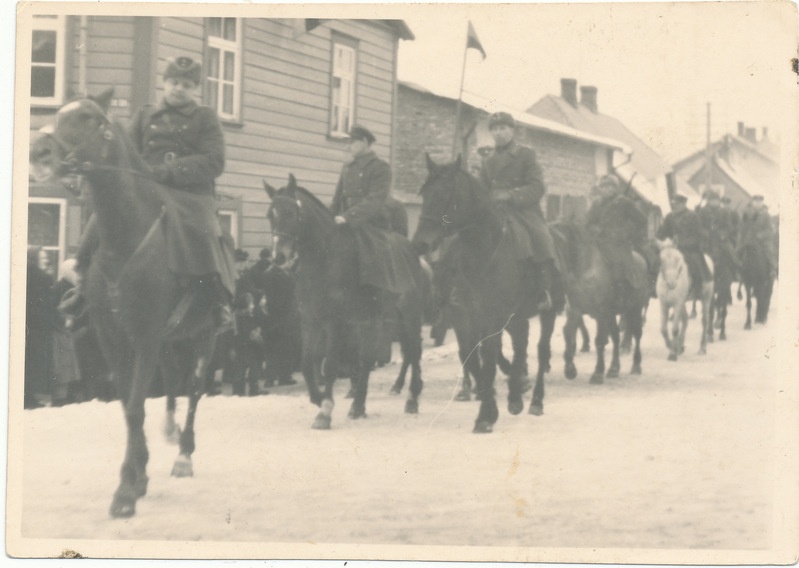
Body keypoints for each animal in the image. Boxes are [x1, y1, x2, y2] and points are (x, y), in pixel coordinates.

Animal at [29, 90, 219, 520]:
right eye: (58, 113)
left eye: (88, 117)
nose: (38, 152)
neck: (126, 236)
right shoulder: (112, 338)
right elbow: (129, 408)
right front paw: (137, 476)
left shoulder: (145, 335)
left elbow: (134, 407)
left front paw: (126, 492)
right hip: (169, 339)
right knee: (173, 383)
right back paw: (170, 432)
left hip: (204, 335)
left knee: (195, 388)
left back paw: (184, 453)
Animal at [264, 175, 428, 428]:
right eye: (270, 215)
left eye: (291, 212)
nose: (279, 257)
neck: (322, 260)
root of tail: (412, 250)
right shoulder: (310, 320)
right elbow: (307, 361)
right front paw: (317, 398)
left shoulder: (335, 322)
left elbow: (330, 364)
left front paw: (325, 410)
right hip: (379, 320)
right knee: (373, 357)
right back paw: (360, 405)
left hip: (408, 315)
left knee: (413, 351)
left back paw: (411, 399)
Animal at [410, 153, 564, 432]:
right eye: (425, 193)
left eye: (446, 193)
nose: (420, 244)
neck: (484, 248)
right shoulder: (469, 316)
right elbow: (473, 356)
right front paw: (489, 406)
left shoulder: (493, 315)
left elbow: (489, 355)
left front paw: (484, 416)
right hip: (517, 317)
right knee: (520, 345)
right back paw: (515, 396)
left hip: (547, 312)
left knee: (540, 350)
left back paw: (535, 401)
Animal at [552, 220, 648, 384]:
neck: (583, 269)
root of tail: (641, 260)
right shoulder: (574, 310)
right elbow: (568, 332)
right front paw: (570, 369)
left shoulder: (601, 313)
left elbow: (600, 340)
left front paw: (597, 373)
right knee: (616, 336)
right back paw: (614, 369)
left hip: (634, 310)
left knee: (636, 334)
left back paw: (636, 366)